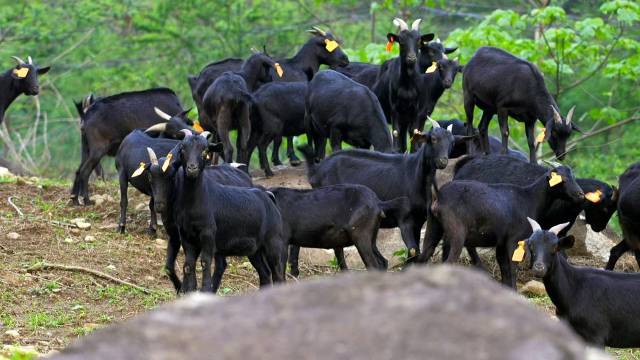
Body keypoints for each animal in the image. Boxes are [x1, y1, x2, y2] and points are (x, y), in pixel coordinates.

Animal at [300, 120, 460, 258]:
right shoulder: (405, 219)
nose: (443, 161)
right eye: (433, 138)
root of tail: (316, 170)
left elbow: (415, 252)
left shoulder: (419, 219)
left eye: (452, 142)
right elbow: (413, 250)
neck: (415, 174)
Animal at [372, 18, 432, 152]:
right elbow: (396, 132)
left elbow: (414, 133)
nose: (411, 58)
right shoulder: (394, 108)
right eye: (401, 41)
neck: (407, 86)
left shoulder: (416, 110)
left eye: (419, 41)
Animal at [420, 165, 584, 286]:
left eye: (574, 177)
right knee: (448, 261)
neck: (529, 198)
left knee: (423, 256)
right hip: (457, 233)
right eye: (563, 179)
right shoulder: (514, 240)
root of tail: (439, 195)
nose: (581, 194)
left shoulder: (501, 242)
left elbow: (504, 269)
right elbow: (512, 268)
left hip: (433, 227)